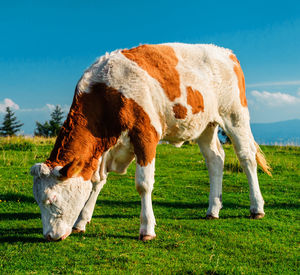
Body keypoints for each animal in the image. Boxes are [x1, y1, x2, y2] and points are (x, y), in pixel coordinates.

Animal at [31, 42, 272, 242]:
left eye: (51, 199)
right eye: (37, 199)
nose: (49, 236)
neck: (107, 91)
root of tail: (225, 52)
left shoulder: (145, 135)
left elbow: (143, 184)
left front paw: (147, 229)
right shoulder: (103, 149)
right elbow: (97, 182)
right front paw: (82, 221)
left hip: (235, 115)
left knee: (246, 158)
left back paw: (256, 208)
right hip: (206, 124)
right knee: (215, 160)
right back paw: (213, 209)